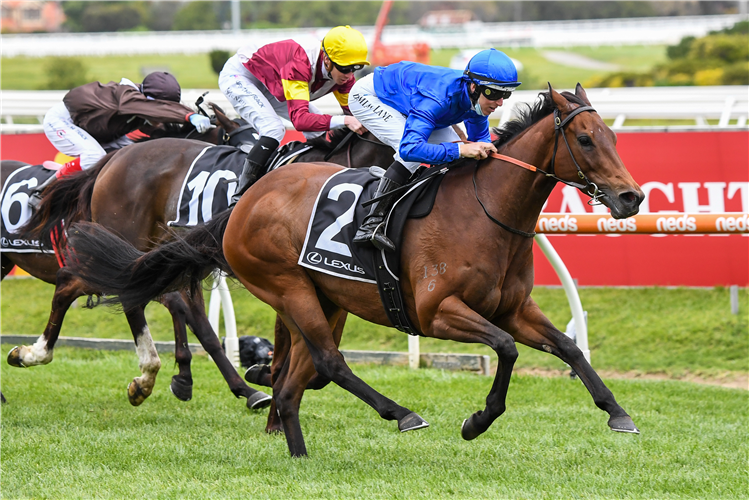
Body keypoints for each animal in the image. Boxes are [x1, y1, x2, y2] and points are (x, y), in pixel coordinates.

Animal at [4, 115, 392, 408]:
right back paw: (41, 355)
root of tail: (113, 160)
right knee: (87, 285)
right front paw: (258, 378)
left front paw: (255, 377)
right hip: (124, 244)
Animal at [61, 85, 644, 458]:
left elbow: (568, 348)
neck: (485, 213)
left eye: (615, 138)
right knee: (324, 360)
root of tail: (245, 203)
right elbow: (505, 349)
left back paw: (292, 443)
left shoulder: (514, 307)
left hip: (321, 297)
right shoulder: (439, 312)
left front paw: (617, 412)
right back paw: (397, 412)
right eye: (585, 140)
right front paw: (477, 421)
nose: (631, 198)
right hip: (288, 287)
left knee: (298, 371)